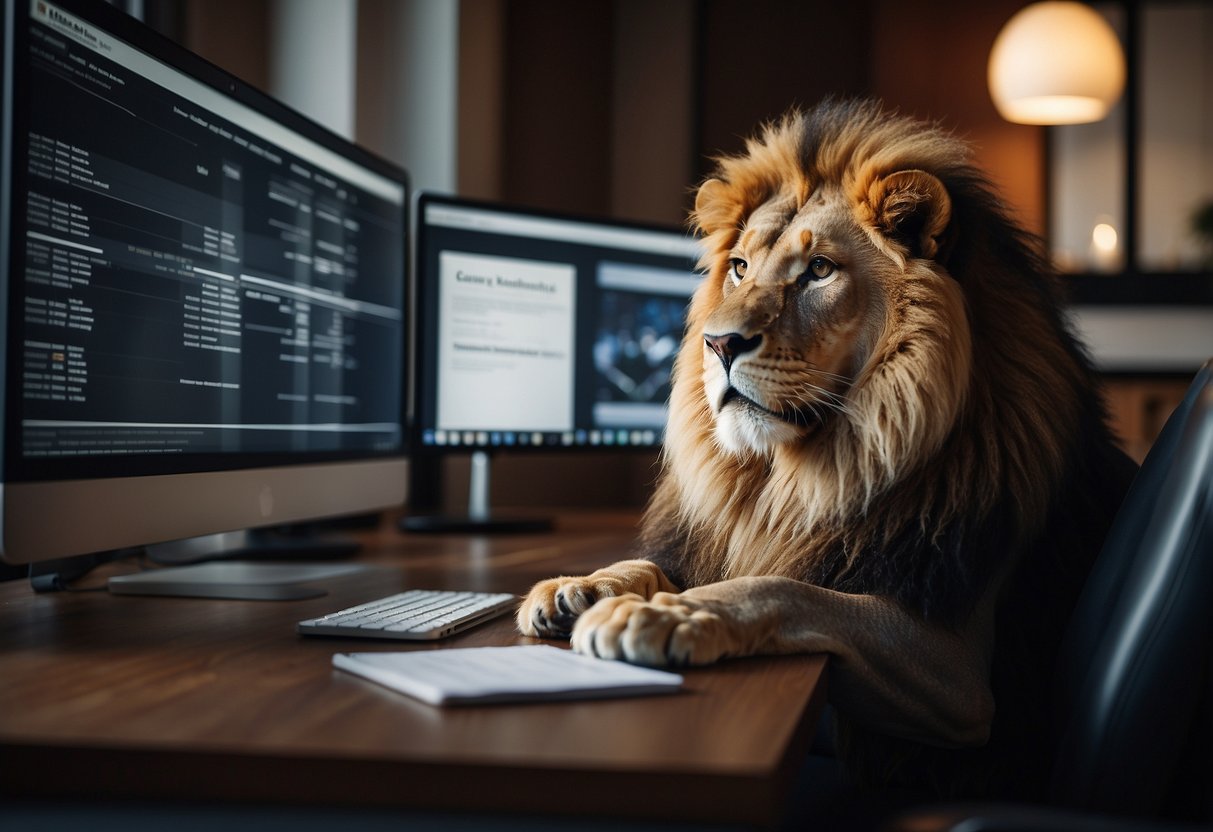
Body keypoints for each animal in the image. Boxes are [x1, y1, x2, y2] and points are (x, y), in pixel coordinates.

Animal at [519, 99, 1135, 800]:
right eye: (740, 267)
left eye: (818, 270)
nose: (718, 344)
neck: (793, 482)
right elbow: (655, 564)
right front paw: (580, 586)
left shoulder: (960, 671)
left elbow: (786, 590)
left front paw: (661, 617)